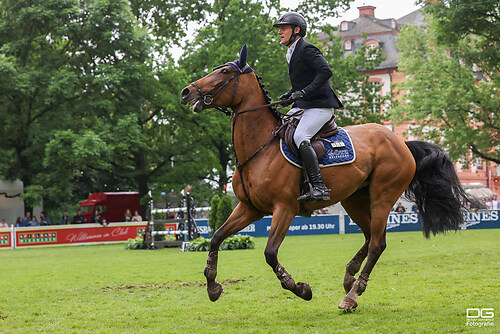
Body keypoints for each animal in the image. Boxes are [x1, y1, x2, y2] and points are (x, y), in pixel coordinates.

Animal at [181, 45, 472, 310]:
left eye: (225, 72)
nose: (186, 92)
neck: (260, 147)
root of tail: (400, 142)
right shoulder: (250, 208)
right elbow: (217, 237)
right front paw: (212, 286)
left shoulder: (284, 208)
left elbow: (270, 253)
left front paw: (299, 288)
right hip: (354, 199)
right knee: (369, 237)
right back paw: (350, 277)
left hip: (383, 196)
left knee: (377, 243)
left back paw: (352, 295)